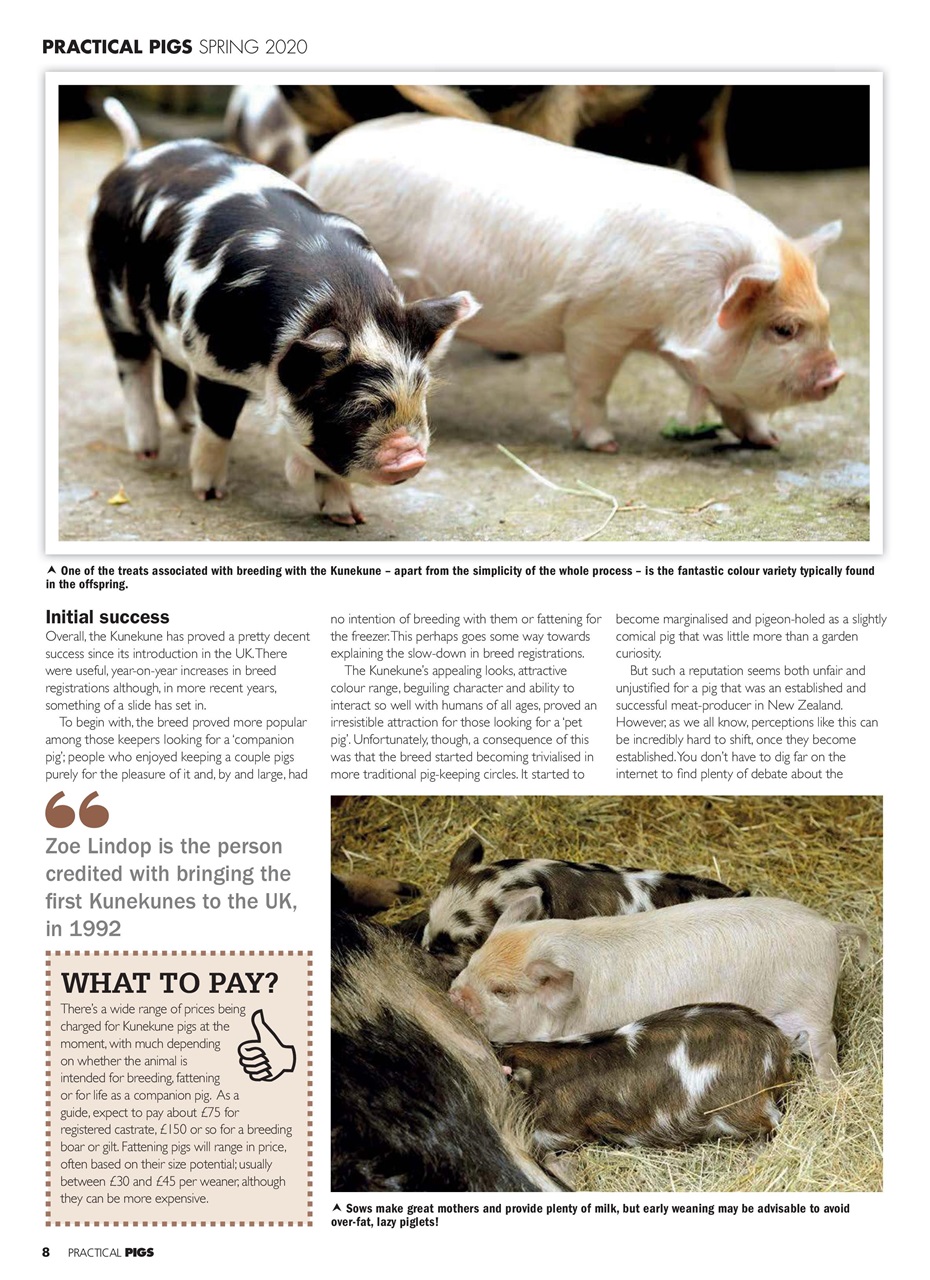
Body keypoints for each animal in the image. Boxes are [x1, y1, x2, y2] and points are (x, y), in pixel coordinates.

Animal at [88, 99, 478, 525]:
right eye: (359, 407)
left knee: (169, 366)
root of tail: (133, 158)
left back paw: (186, 425)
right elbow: (218, 426)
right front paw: (209, 494)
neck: (348, 301)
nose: (411, 457)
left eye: (421, 394)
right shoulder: (213, 359)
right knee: (133, 368)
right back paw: (147, 451)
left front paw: (349, 518)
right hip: (112, 298)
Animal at [304, 115, 844, 453]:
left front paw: (768, 441)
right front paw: (606, 445)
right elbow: (593, 385)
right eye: (784, 329)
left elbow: (727, 395)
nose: (836, 375)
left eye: (826, 317)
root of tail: (322, 158)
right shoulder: (596, 321)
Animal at [449, 891, 870, 1079]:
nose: (454, 994)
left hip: (811, 1008)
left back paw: (829, 1086)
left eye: (502, 990)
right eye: (472, 960)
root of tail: (828, 926)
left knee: (826, 1045)